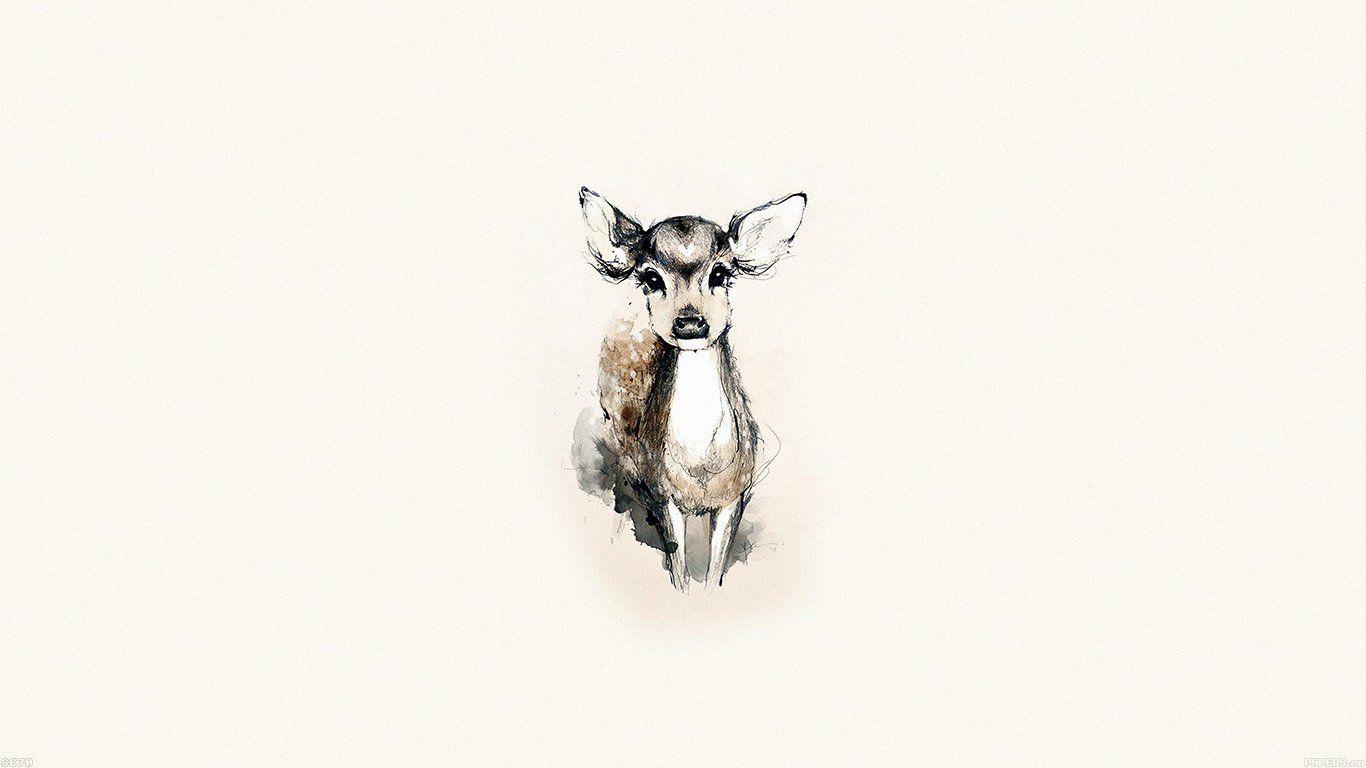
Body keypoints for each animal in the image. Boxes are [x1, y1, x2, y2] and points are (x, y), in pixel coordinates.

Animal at [576, 187, 806, 590]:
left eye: (721, 272)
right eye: (651, 278)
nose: (689, 322)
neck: (700, 467)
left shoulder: (735, 494)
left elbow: (715, 569)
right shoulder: (664, 495)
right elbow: (679, 568)